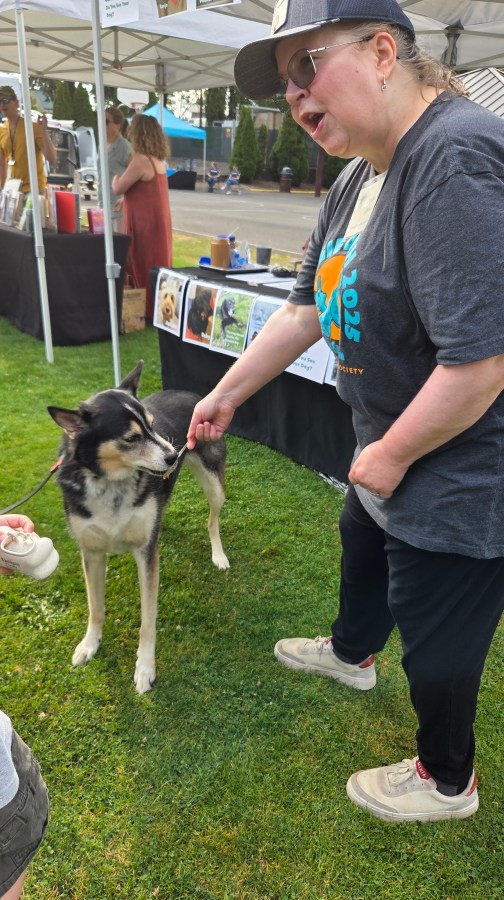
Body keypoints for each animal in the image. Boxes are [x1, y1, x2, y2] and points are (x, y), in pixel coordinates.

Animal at [48, 361, 229, 694]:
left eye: (153, 425)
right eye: (131, 438)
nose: (173, 454)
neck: (110, 484)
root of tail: (193, 394)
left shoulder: (146, 555)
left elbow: (147, 621)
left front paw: (145, 668)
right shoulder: (91, 553)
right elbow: (95, 606)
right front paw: (90, 645)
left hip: (214, 485)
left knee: (212, 520)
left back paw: (218, 554)